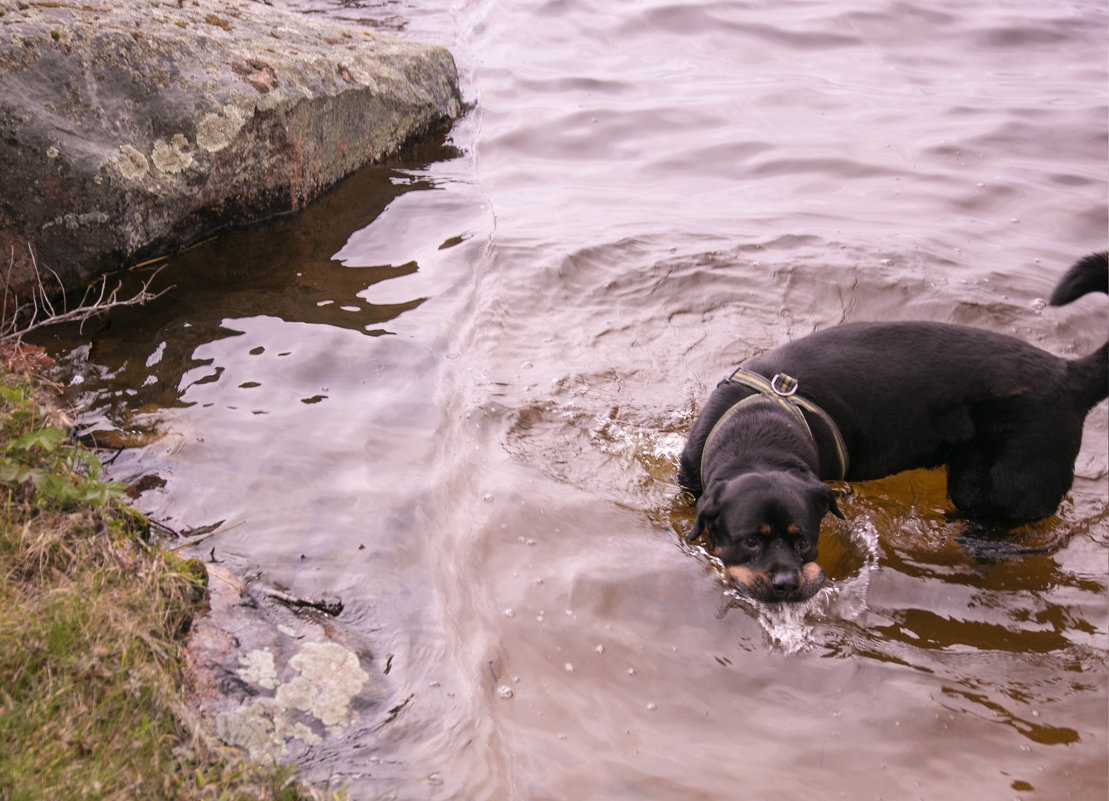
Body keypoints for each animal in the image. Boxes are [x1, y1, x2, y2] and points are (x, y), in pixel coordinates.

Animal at [678, 252, 1104, 603]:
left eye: (805, 541)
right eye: (749, 541)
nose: (787, 583)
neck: (759, 433)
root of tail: (1069, 376)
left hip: (1005, 482)